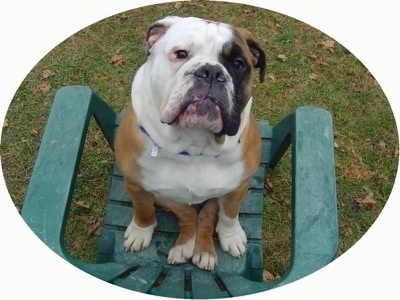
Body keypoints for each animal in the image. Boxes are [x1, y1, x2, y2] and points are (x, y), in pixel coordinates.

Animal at [115, 15, 266, 270]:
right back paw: (185, 246)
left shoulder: (238, 187)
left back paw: (203, 251)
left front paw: (231, 235)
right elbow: (143, 210)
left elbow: (229, 215)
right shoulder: (136, 185)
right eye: (181, 54)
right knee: (188, 215)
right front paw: (140, 231)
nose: (211, 72)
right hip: (166, 196)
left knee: (205, 215)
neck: (194, 146)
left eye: (238, 64)